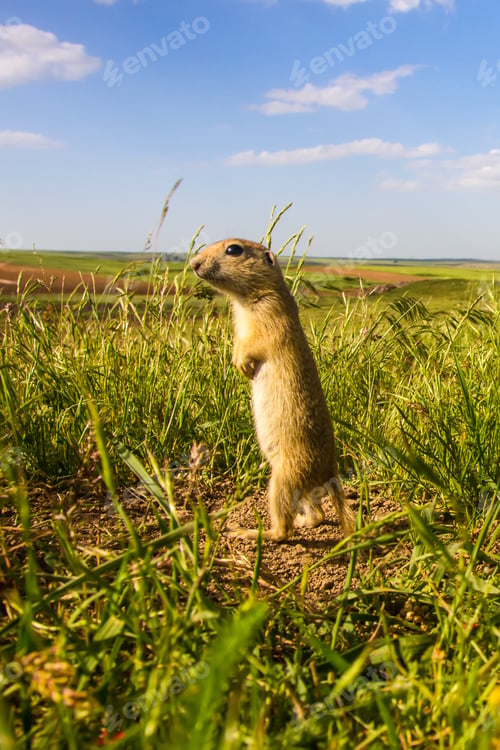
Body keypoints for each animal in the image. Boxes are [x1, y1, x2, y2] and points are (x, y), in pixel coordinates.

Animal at [190, 238, 355, 541]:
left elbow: (257, 342)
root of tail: (331, 472)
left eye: (233, 249)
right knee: (317, 514)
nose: (194, 263)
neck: (244, 300)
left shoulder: (271, 315)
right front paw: (239, 364)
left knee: (284, 530)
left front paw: (241, 363)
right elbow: (239, 342)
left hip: (282, 478)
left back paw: (250, 532)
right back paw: (304, 521)